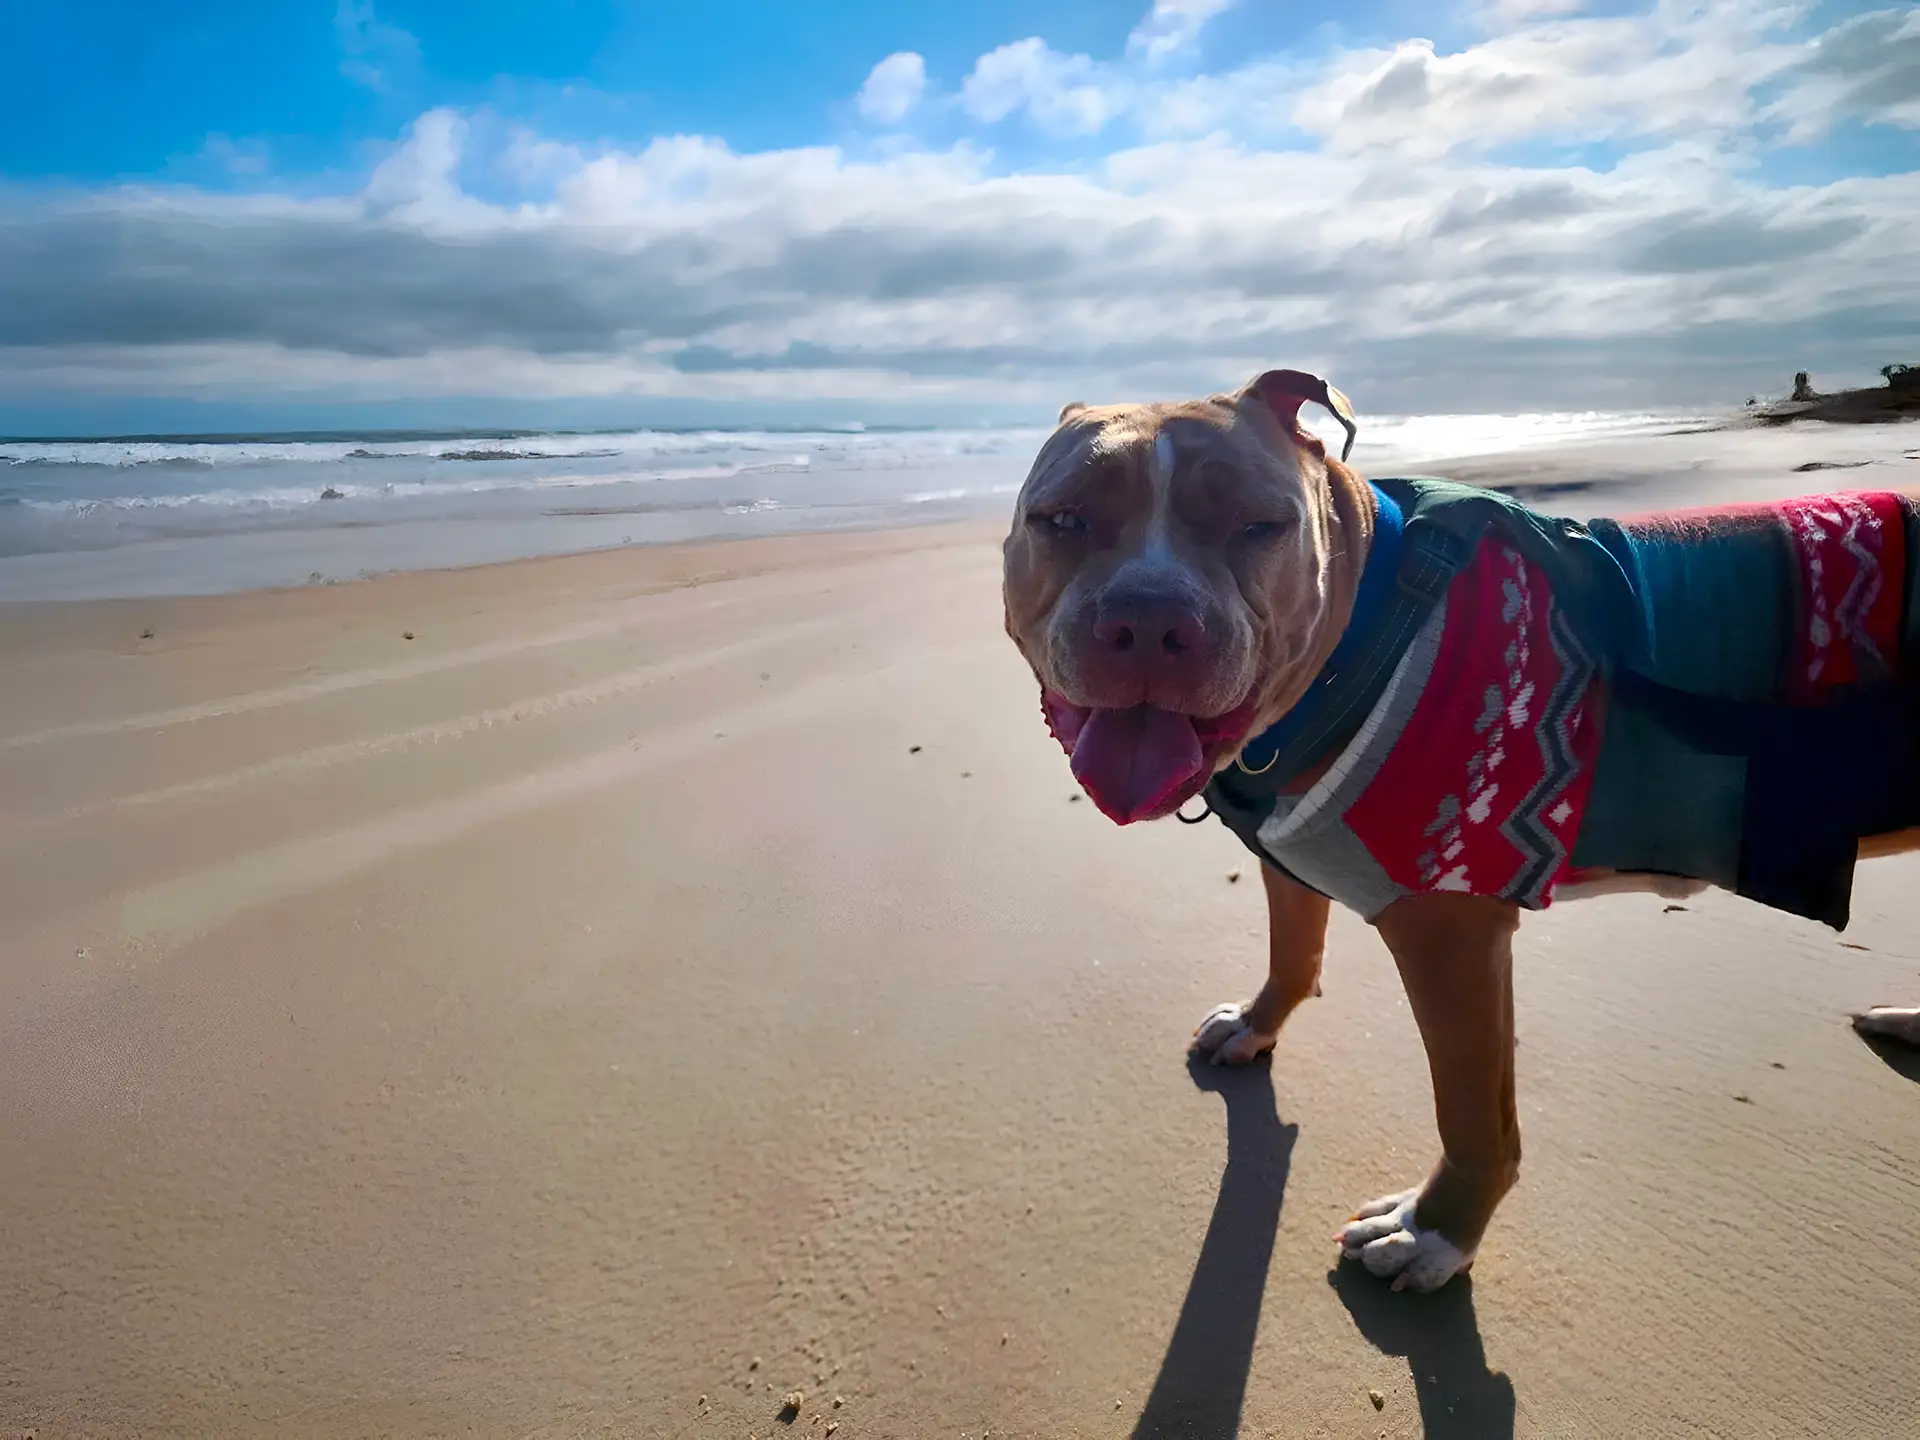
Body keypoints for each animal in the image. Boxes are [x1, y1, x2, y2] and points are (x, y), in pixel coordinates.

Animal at [998, 372, 1920, 1297]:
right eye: (1063, 519)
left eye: (1260, 525)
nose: (1151, 623)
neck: (1365, 631)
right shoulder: (1291, 858)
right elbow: (1294, 949)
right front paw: (1258, 1025)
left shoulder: (1451, 937)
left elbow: (1474, 1114)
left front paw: (1435, 1231)